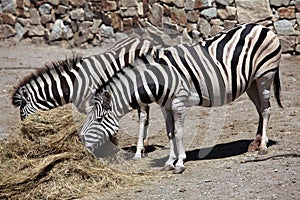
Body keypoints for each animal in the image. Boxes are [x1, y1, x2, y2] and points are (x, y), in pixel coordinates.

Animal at [10, 36, 155, 159]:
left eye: (23, 114)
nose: (25, 137)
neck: (75, 84)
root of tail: (144, 40)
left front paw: (109, 151)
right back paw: (145, 145)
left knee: (143, 116)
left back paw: (138, 151)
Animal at [79, 22, 282, 173]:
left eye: (99, 119)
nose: (80, 141)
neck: (158, 79)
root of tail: (262, 27)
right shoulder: (165, 106)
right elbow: (170, 133)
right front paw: (169, 162)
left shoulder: (178, 103)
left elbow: (179, 132)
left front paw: (180, 163)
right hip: (251, 83)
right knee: (259, 109)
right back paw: (255, 143)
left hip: (264, 76)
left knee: (266, 110)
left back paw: (263, 146)